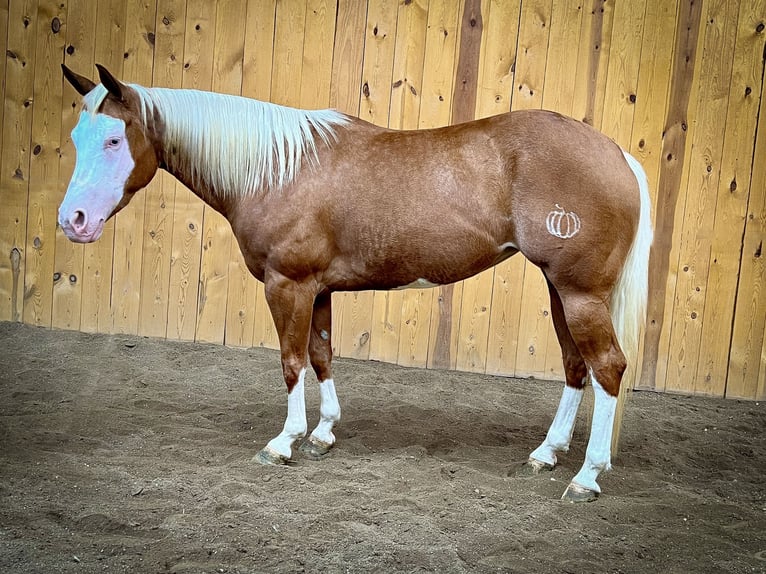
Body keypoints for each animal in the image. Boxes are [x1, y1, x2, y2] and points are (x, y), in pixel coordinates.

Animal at [58, 64, 656, 504]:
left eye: (114, 139)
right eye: (75, 137)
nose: (74, 221)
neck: (278, 168)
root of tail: (617, 154)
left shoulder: (288, 285)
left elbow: (291, 361)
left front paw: (284, 442)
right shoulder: (318, 289)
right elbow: (321, 355)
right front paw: (323, 434)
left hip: (580, 294)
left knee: (607, 368)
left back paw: (586, 476)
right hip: (561, 291)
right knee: (577, 367)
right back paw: (547, 453)